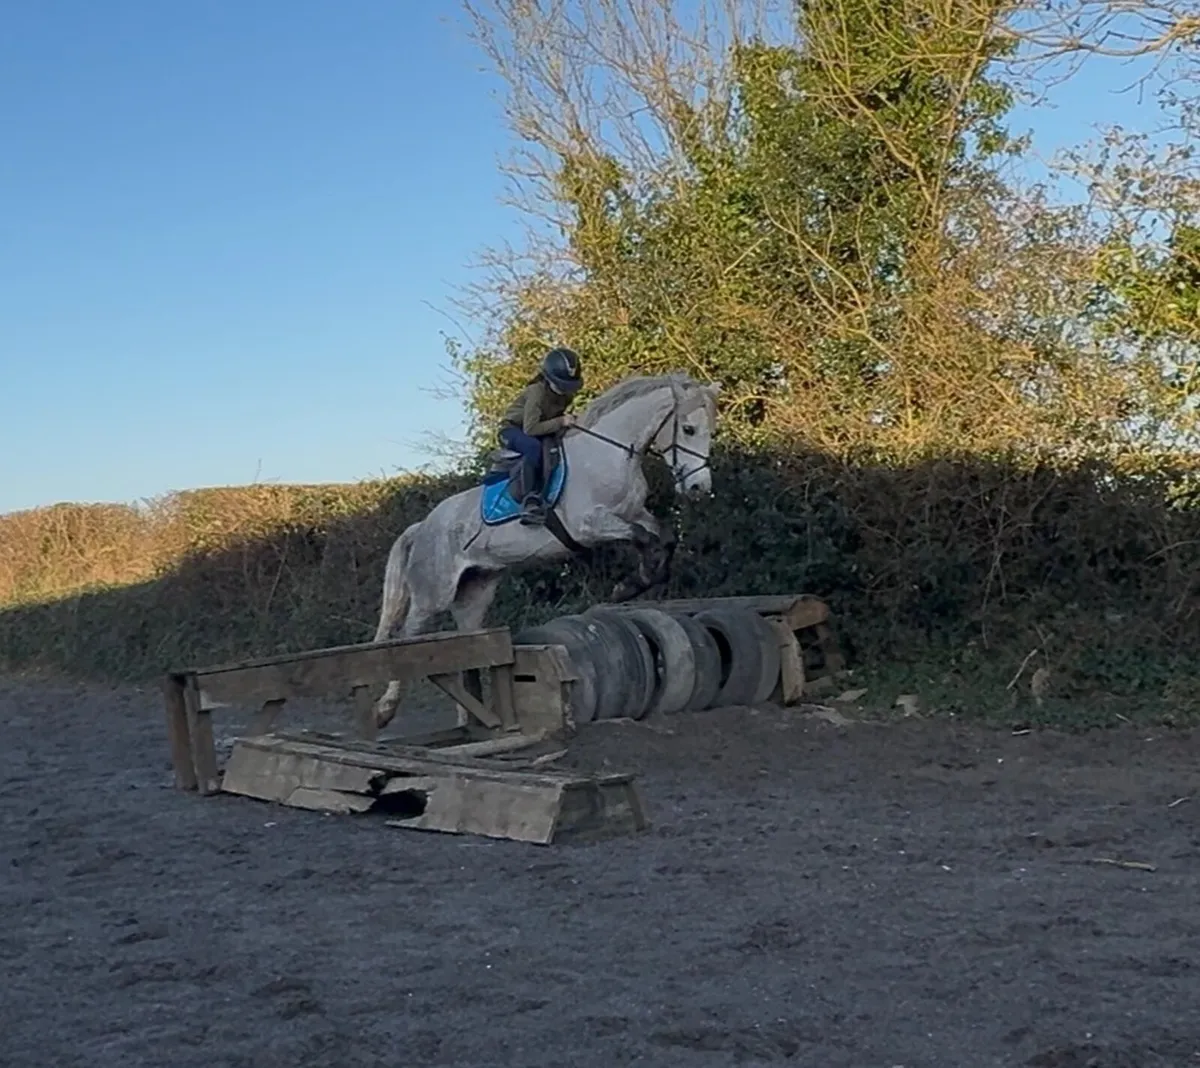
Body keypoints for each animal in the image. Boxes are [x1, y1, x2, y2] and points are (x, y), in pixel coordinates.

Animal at [369, 371, 722, 729]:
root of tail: (424, 525)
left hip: (474, 592)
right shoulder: (588, 525)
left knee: (467, 641)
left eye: (712, 432)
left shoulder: (634, 513)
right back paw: (385, 711)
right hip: (432, 595)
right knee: (408, 636)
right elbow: (643, 538)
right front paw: (630, 585)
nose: (699, 488)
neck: (609, 454)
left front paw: (641, 580)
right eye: (689, 429)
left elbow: (663, 537)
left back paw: (470, 719)